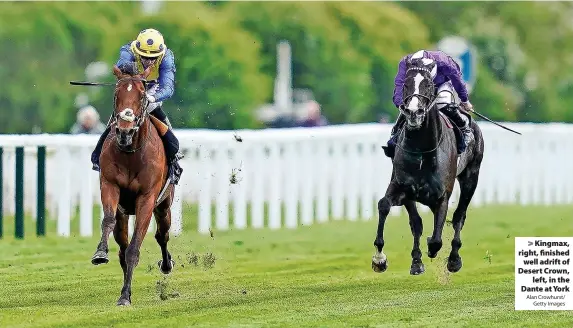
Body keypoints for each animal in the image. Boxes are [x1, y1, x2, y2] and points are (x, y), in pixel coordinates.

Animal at [90, 64, 177, 308]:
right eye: (116, 94)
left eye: (141, 95)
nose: (125, 131)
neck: (131, 154)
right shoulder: (109, 185)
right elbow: (108, 221)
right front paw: (100, 253)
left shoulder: (147, 198)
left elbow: (135, 248)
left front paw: (124, 297)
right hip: (123, 214)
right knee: (121, 244)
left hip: (164, 205)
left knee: (162, 235)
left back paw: (166, 264)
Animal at [370, 57, 482, 276]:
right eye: (405, 84)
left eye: (428, 85)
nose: (414, 112)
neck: (422, 149)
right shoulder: (403, 188)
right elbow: (386, 205)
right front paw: (380, 259)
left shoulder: (442, 196)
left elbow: (437, 238)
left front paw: (436, 249)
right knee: (418, 222)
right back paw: (416, 261)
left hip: (471, 178)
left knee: (459, 216)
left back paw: (454, 259)